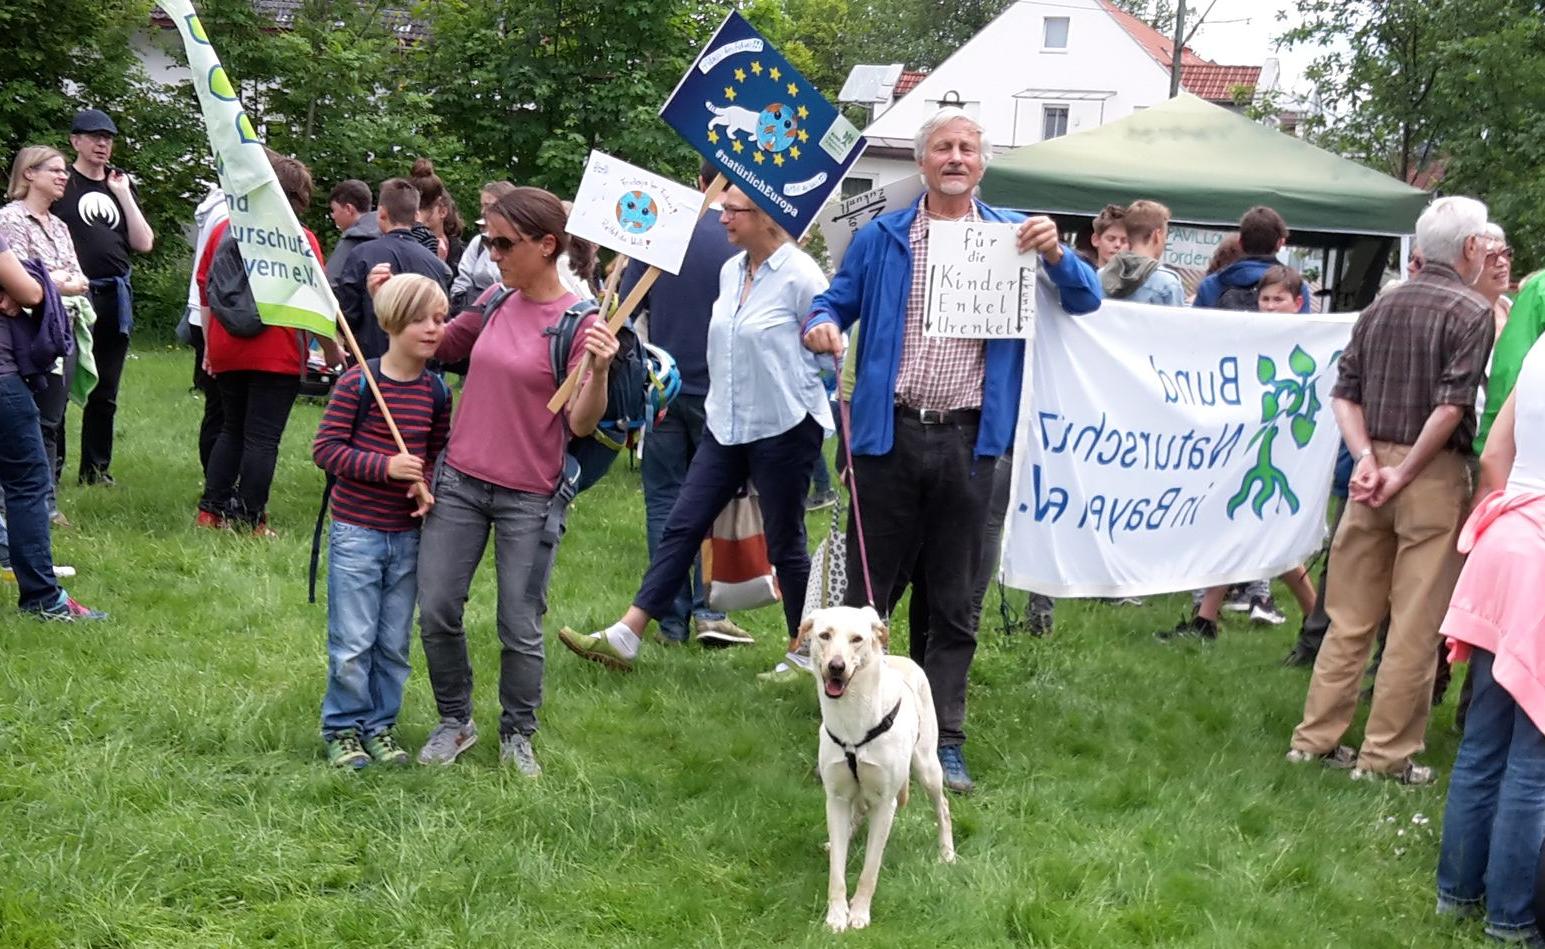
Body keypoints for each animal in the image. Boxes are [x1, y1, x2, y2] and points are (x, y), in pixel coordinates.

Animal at [803, 605, 945, 933]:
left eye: (857, 639)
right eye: (824, 635)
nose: (836, 667)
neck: (853, 718)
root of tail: (902, 658)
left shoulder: (885, 804)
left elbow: (870, 869)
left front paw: (859, 913)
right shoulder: (836, 798)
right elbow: (837, 872)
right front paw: (836, 915)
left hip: (927, 767)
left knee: (942, 806)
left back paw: (948, 853)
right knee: (856, 812)